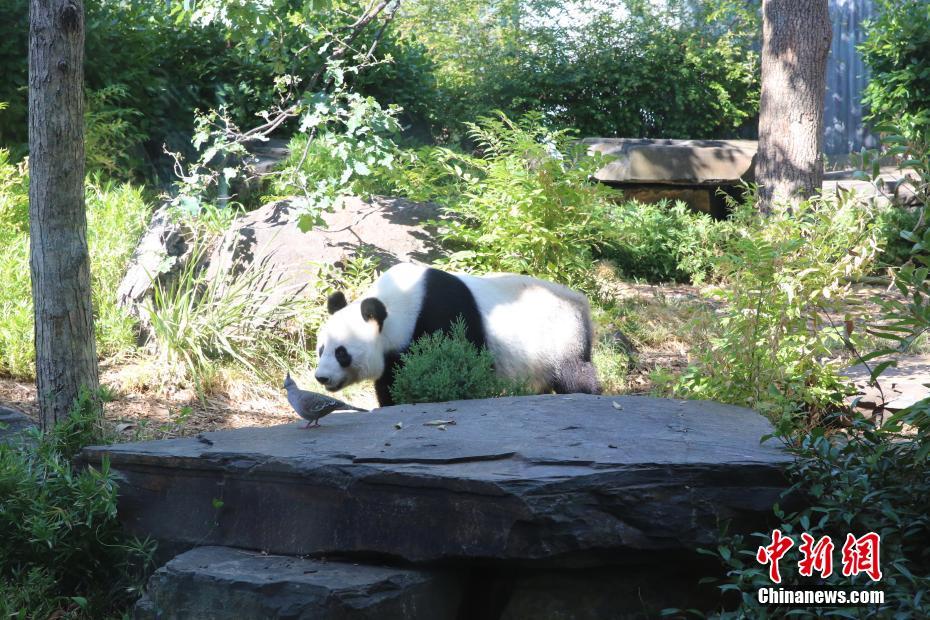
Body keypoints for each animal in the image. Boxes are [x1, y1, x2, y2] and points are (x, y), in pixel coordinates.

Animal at [312, 262, 600, 404]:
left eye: (342, 353)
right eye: (321, 349)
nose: (321, 377)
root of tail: (581, 302)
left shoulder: (441, 316)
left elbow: (458, 364)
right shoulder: (395, 353)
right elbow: (392, 382)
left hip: (560, 335)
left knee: (575, 372)